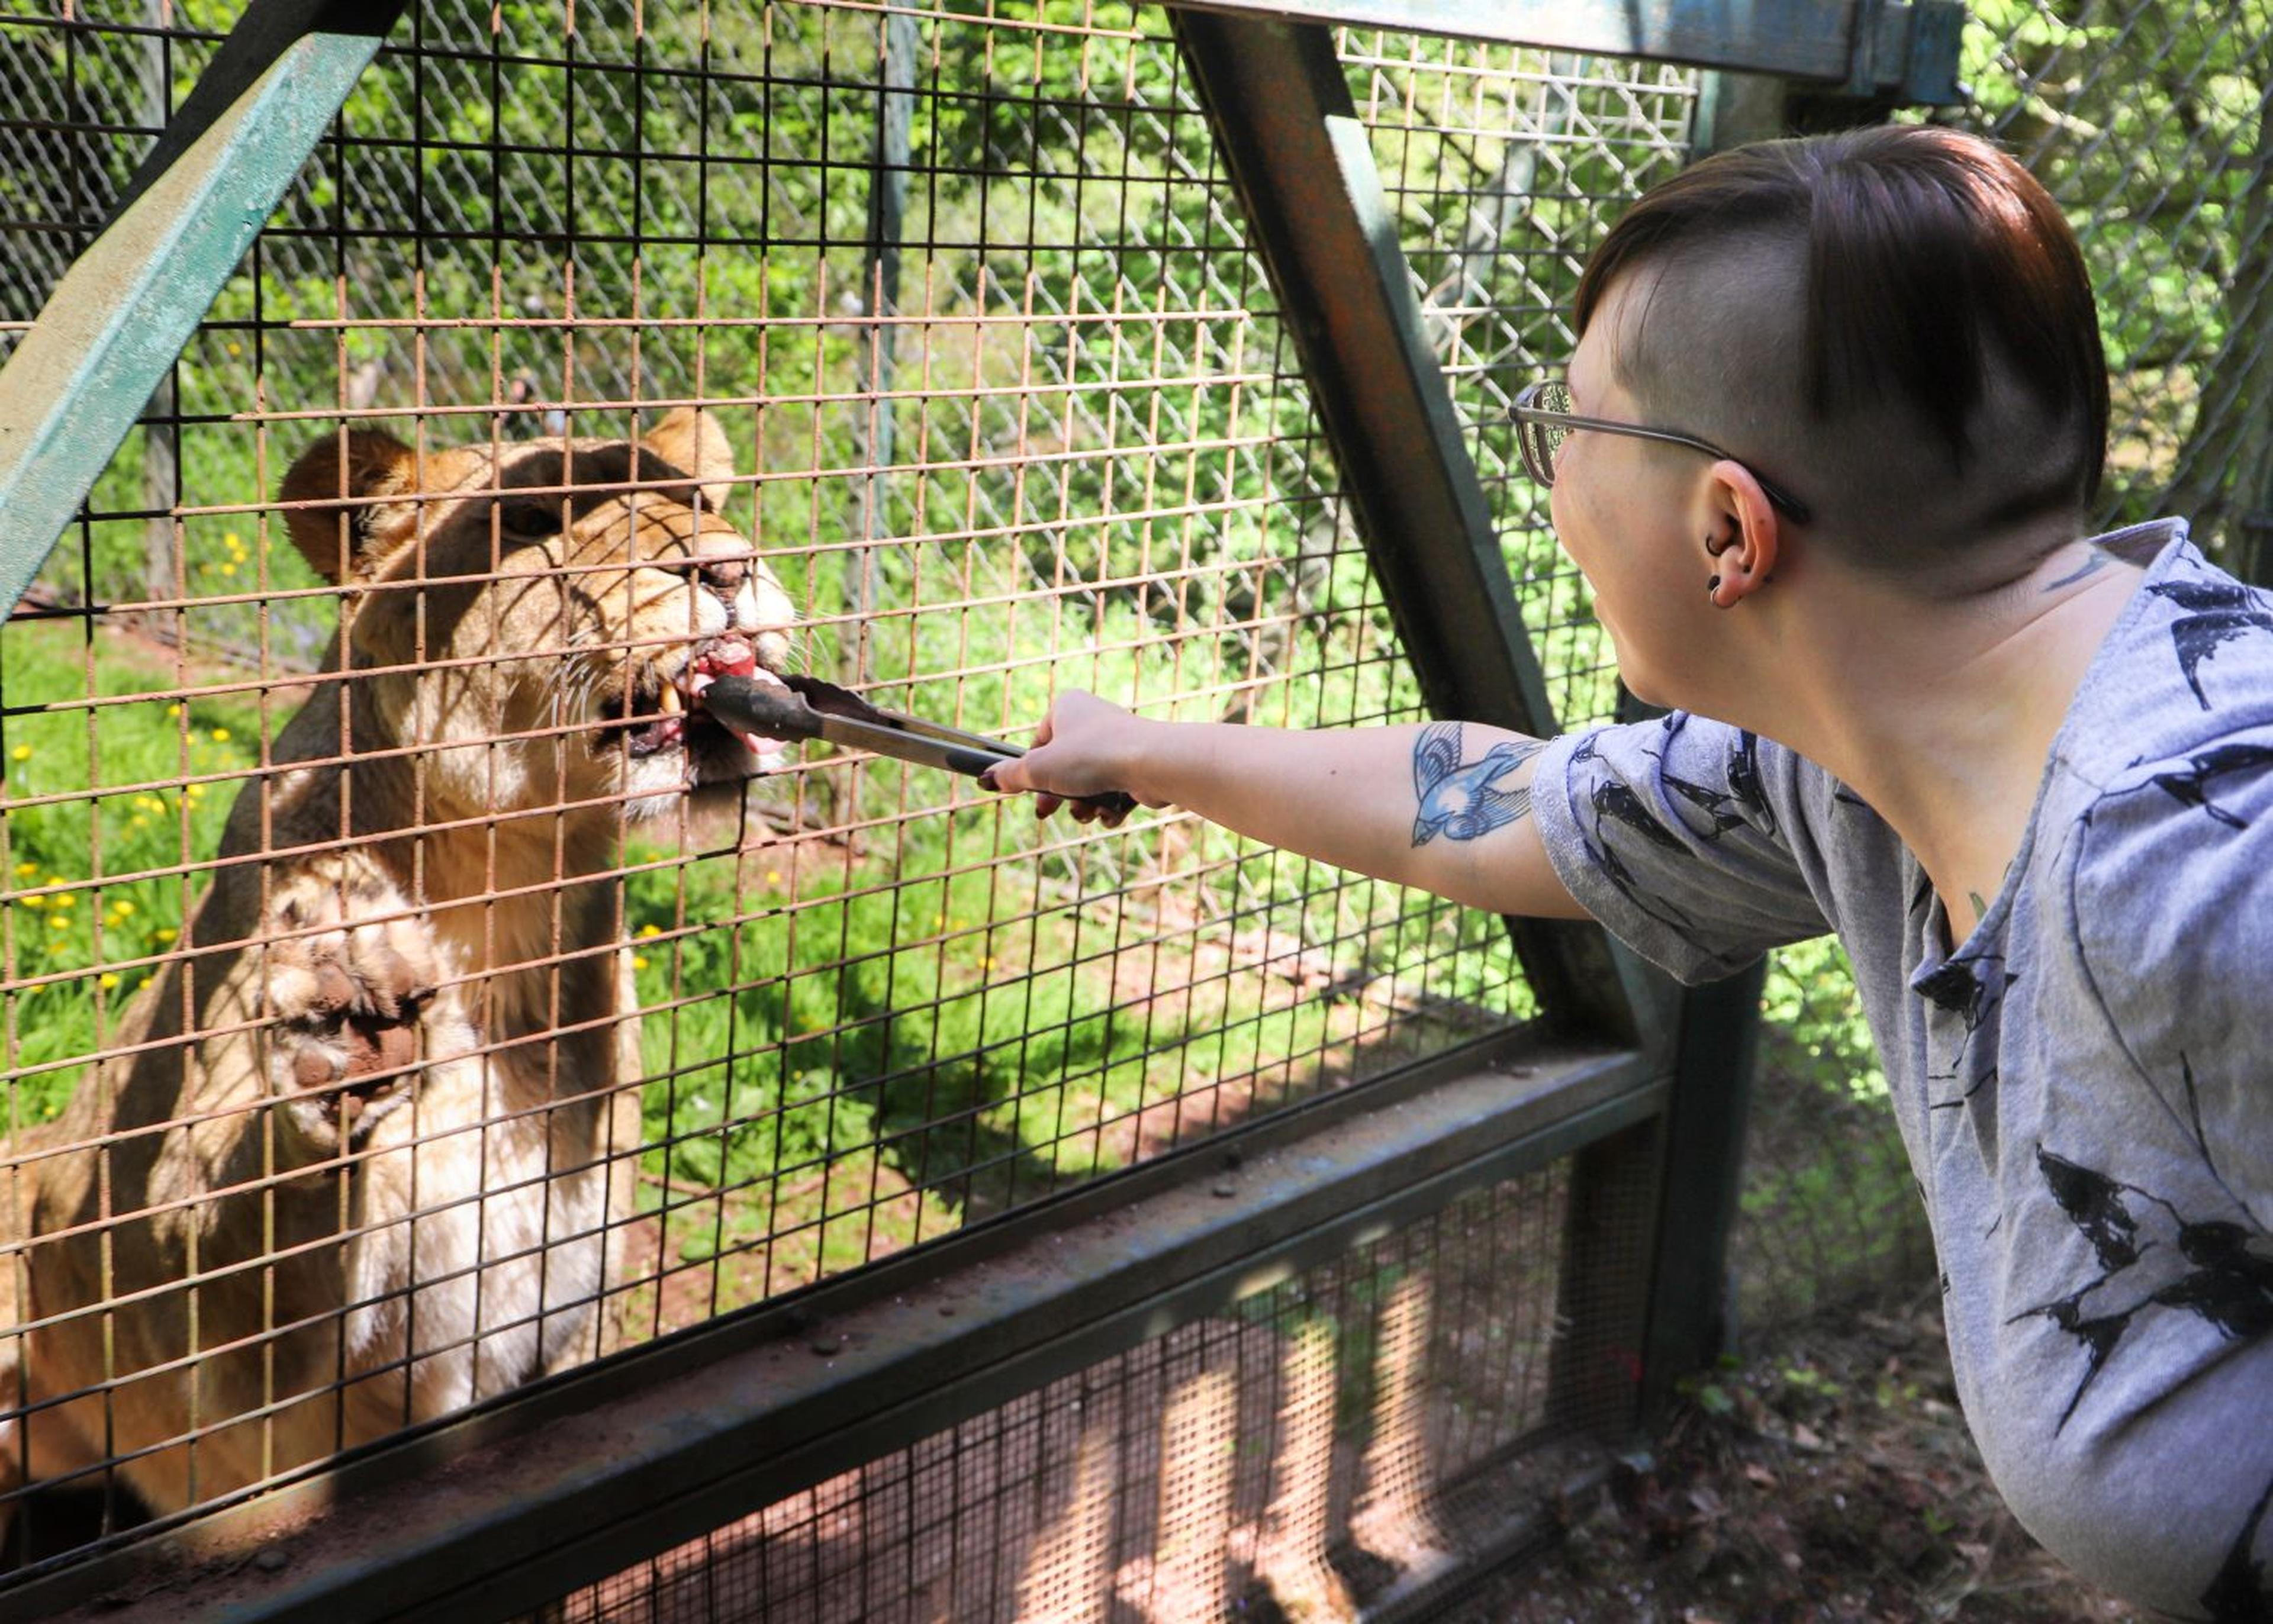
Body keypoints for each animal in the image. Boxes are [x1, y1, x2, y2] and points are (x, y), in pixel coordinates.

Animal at [0, 407, 797, 1541]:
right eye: (534, 523)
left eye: (694, 504)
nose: (727, 567)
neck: (506, 896)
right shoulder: (225, 1373)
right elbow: (248, 1252)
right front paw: (348, 1011)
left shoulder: (567, 1301)